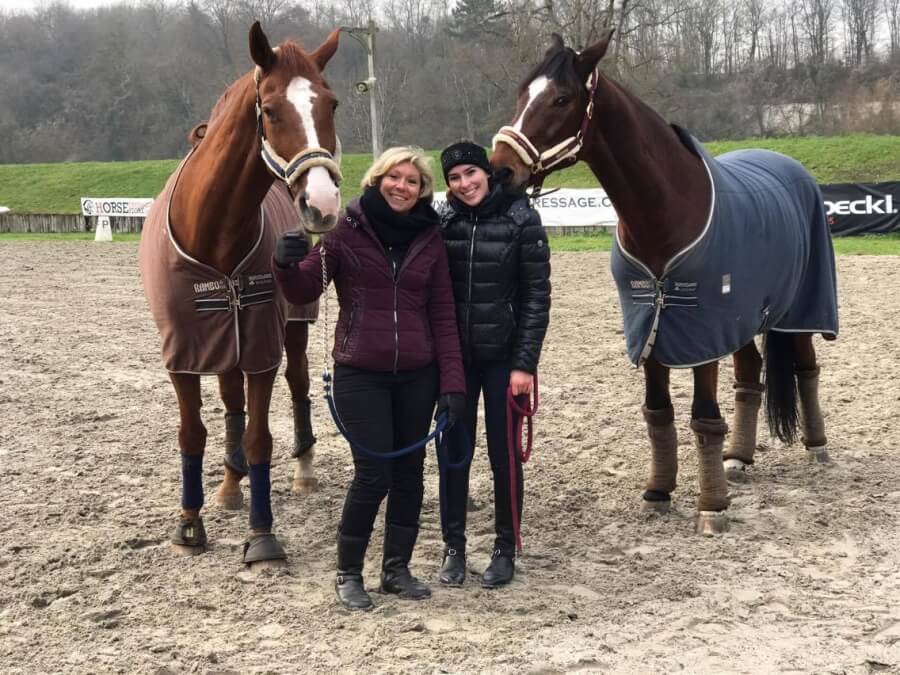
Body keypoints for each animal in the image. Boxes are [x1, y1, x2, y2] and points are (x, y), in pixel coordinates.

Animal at [138, 22, 342, 565]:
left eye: (331, 104)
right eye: (269, 109)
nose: (322, 203)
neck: (211, 231)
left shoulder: (262, 346)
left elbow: (259, 437)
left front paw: (262, 534)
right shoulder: (183, 352)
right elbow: (194, 432)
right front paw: (189, 524)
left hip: (291, 328)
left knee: (298, 384)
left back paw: (303, 470)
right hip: (224, 339)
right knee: (230, 401)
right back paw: (230, 485)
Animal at [491, 32, 839, 534]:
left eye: (561, 98)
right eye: (521, 94)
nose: (500, 170)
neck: (667, 210)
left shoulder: (701, 330)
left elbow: (704, 417)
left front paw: (712, 508)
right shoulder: (651, 324)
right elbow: (658, 412)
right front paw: (659, 491)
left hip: (800, 308)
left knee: (807, 367)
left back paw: (817, 448)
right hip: (743, 316)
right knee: (749, 376)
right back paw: (739, 458)